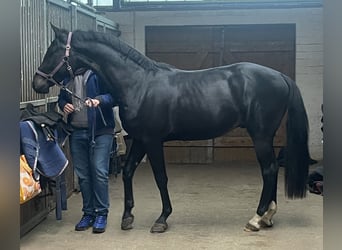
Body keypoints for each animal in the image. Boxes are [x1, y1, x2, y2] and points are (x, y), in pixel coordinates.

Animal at [32, 24, 310, 232]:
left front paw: (162, 218)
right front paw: (127, 217)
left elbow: (161, 178)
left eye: (53, 50)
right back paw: (267, 217)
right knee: (270, 170)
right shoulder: (140, 140)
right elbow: (128, 172)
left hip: (260, 136)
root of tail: (280, 76)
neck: (139, 84)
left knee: (269, 169)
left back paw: (257, 218)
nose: (37, 83)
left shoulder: (153, 141)